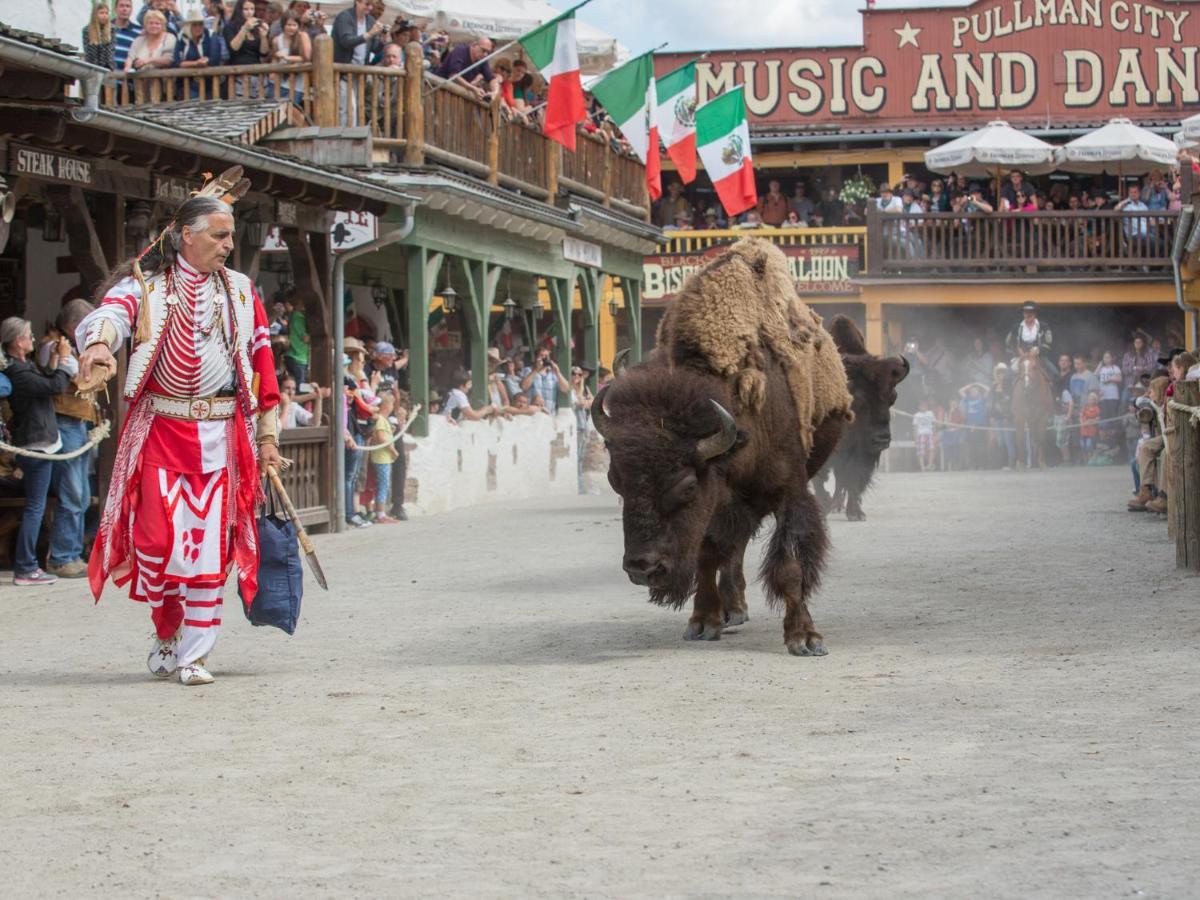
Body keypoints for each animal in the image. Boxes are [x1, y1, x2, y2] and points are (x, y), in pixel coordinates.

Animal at [592, 240, 854, 657]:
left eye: (687, 485)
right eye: (615, 482)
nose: (641, 568)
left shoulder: (788, 491)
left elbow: (790, 564)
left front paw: (805, 638)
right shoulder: (720, 500)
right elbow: (708, 553)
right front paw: (703, 622)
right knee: (732, 549)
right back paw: (732, 609)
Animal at [811, 314, 902, 520]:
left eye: (892, 397)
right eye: (858, 399)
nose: (882, 438)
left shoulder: (862, 453)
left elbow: (854, 477)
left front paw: (856, 513)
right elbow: (822, 478)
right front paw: (825, 504)